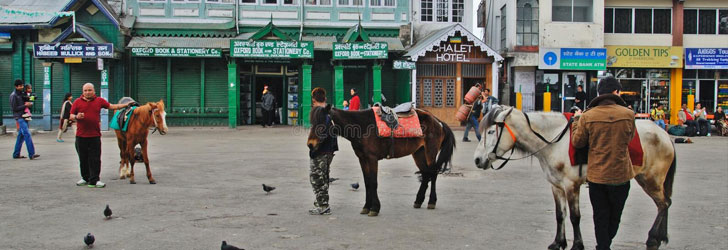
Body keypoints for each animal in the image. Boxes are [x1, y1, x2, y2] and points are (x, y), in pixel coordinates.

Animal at [308, 104, 456, 216]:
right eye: (312, 122)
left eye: (323, 122)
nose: (310, 144)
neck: (362, 126)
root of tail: (437, 121)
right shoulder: (362, 159)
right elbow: (367, 183)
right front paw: (366, 206)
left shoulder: (372, 159)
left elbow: (373, 183)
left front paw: (374, 208)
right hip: (418, 153)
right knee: (425, 174)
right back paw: (418, 200)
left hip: (430, 151)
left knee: (433, 174)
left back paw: (431, 201)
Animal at [472, 106, 676, 250]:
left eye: (491, 132)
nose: (477, 159)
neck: (553, 142)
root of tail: (664, 135)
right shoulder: (556, 186)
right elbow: (560, 215)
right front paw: (558, 242)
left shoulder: (571, 186)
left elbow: (575, 216)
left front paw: (577, 244)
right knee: (665, 203)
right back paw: (661, 237)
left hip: (651, 179)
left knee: (663, 204)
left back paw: (653, 239)